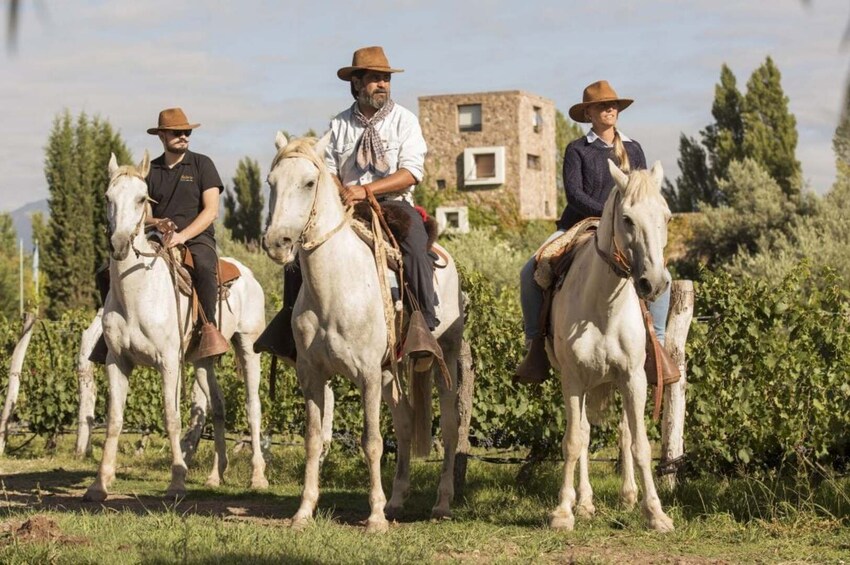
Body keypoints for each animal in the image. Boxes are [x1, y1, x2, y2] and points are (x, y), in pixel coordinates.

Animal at [83, 152, 266, 500]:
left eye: (142, 198)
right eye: (108, 197)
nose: (119, 245)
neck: (138, 293)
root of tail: (248, 273)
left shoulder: (169, 362)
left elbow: (172, 417)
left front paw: (177, 481)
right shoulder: (117, 361)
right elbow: (114, 420)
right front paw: (99, 484)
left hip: (248, 347)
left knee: (253, 406)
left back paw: (258, 477)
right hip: (202, 359)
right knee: (217, 407)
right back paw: (215, 475)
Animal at [264, 134, 464, 532]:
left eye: (308, 183)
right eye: (271, 182)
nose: (277, 243)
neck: (335, 286)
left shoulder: (368, 374)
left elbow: (371, 441)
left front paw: (374, 518)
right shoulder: (312, 374)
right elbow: (314, 440)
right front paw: (304, 511)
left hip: (444, 356)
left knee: (449, 427)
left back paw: (441, 503)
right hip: (390, 372)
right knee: (405, 423)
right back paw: (397, 499)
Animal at [548, 161, 672, 532]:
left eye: (667, 216)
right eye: (627, 218)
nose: (654, 283)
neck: (603, 305)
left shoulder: (634, 378)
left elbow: (640, 444)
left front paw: (655, 512)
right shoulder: (573, 380)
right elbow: (574, 441)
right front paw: (563, 511)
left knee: (624, 433)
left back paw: (628, 496)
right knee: (585, 433)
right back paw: (585, 502)